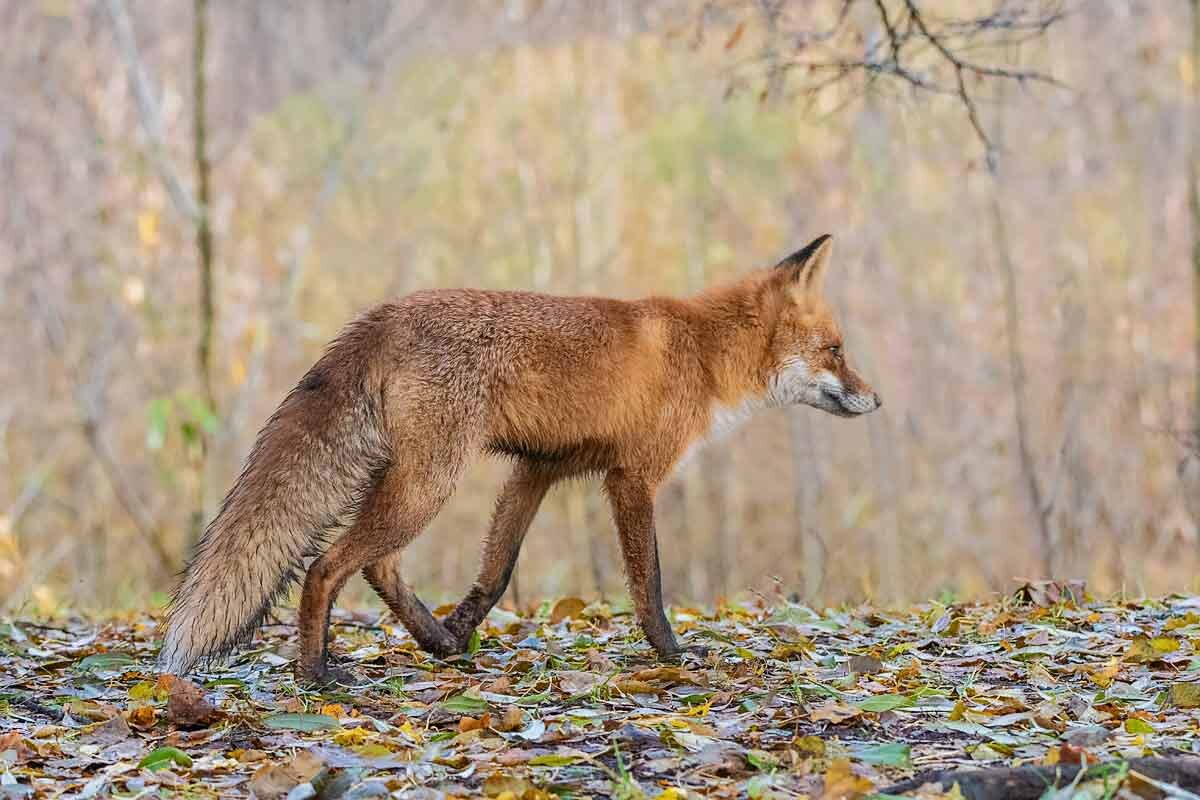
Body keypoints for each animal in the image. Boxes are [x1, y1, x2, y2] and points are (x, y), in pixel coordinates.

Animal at [154, 235, 878, 686]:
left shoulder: (540, 468)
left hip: (416, 479)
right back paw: (314, 675)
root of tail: (384, 312)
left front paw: (459, 629)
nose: (876, 399)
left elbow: (498, 571)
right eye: (837, 350)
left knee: (379, 565)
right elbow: (649, 582)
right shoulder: (633, 477)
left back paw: (432, 640)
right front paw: (671, 653)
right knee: (326, 568)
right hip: (431, 482)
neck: (700, 354)